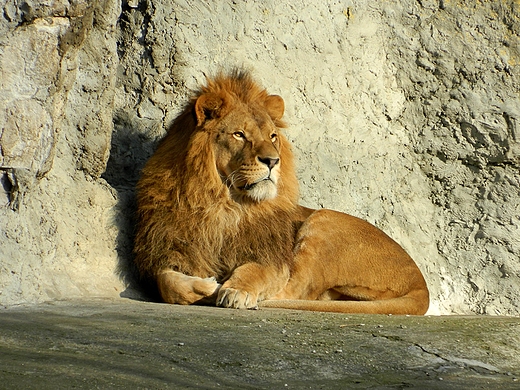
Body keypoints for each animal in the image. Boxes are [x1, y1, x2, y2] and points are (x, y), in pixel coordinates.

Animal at [134, 69, 430, 314]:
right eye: (239, 134)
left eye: (272, 136)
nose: (272, 160)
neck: (224, 203)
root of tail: (421, 284)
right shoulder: (169, 249)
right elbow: (167, 282)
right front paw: (204, 286)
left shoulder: (273, 259)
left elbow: (256, 271)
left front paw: (234, 290)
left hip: (323, 222)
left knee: (297, 290)